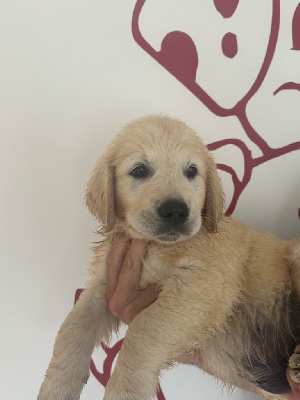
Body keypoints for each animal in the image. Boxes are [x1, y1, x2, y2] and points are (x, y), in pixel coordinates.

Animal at [38, 115, 300, 400]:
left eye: (192, 171)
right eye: (139, 170)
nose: (175, 211)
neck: (156, 246)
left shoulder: (201, 287)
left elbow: (143, 332)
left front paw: (126, 390)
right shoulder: (104, 285)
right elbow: (71, 329)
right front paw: (56, 386)